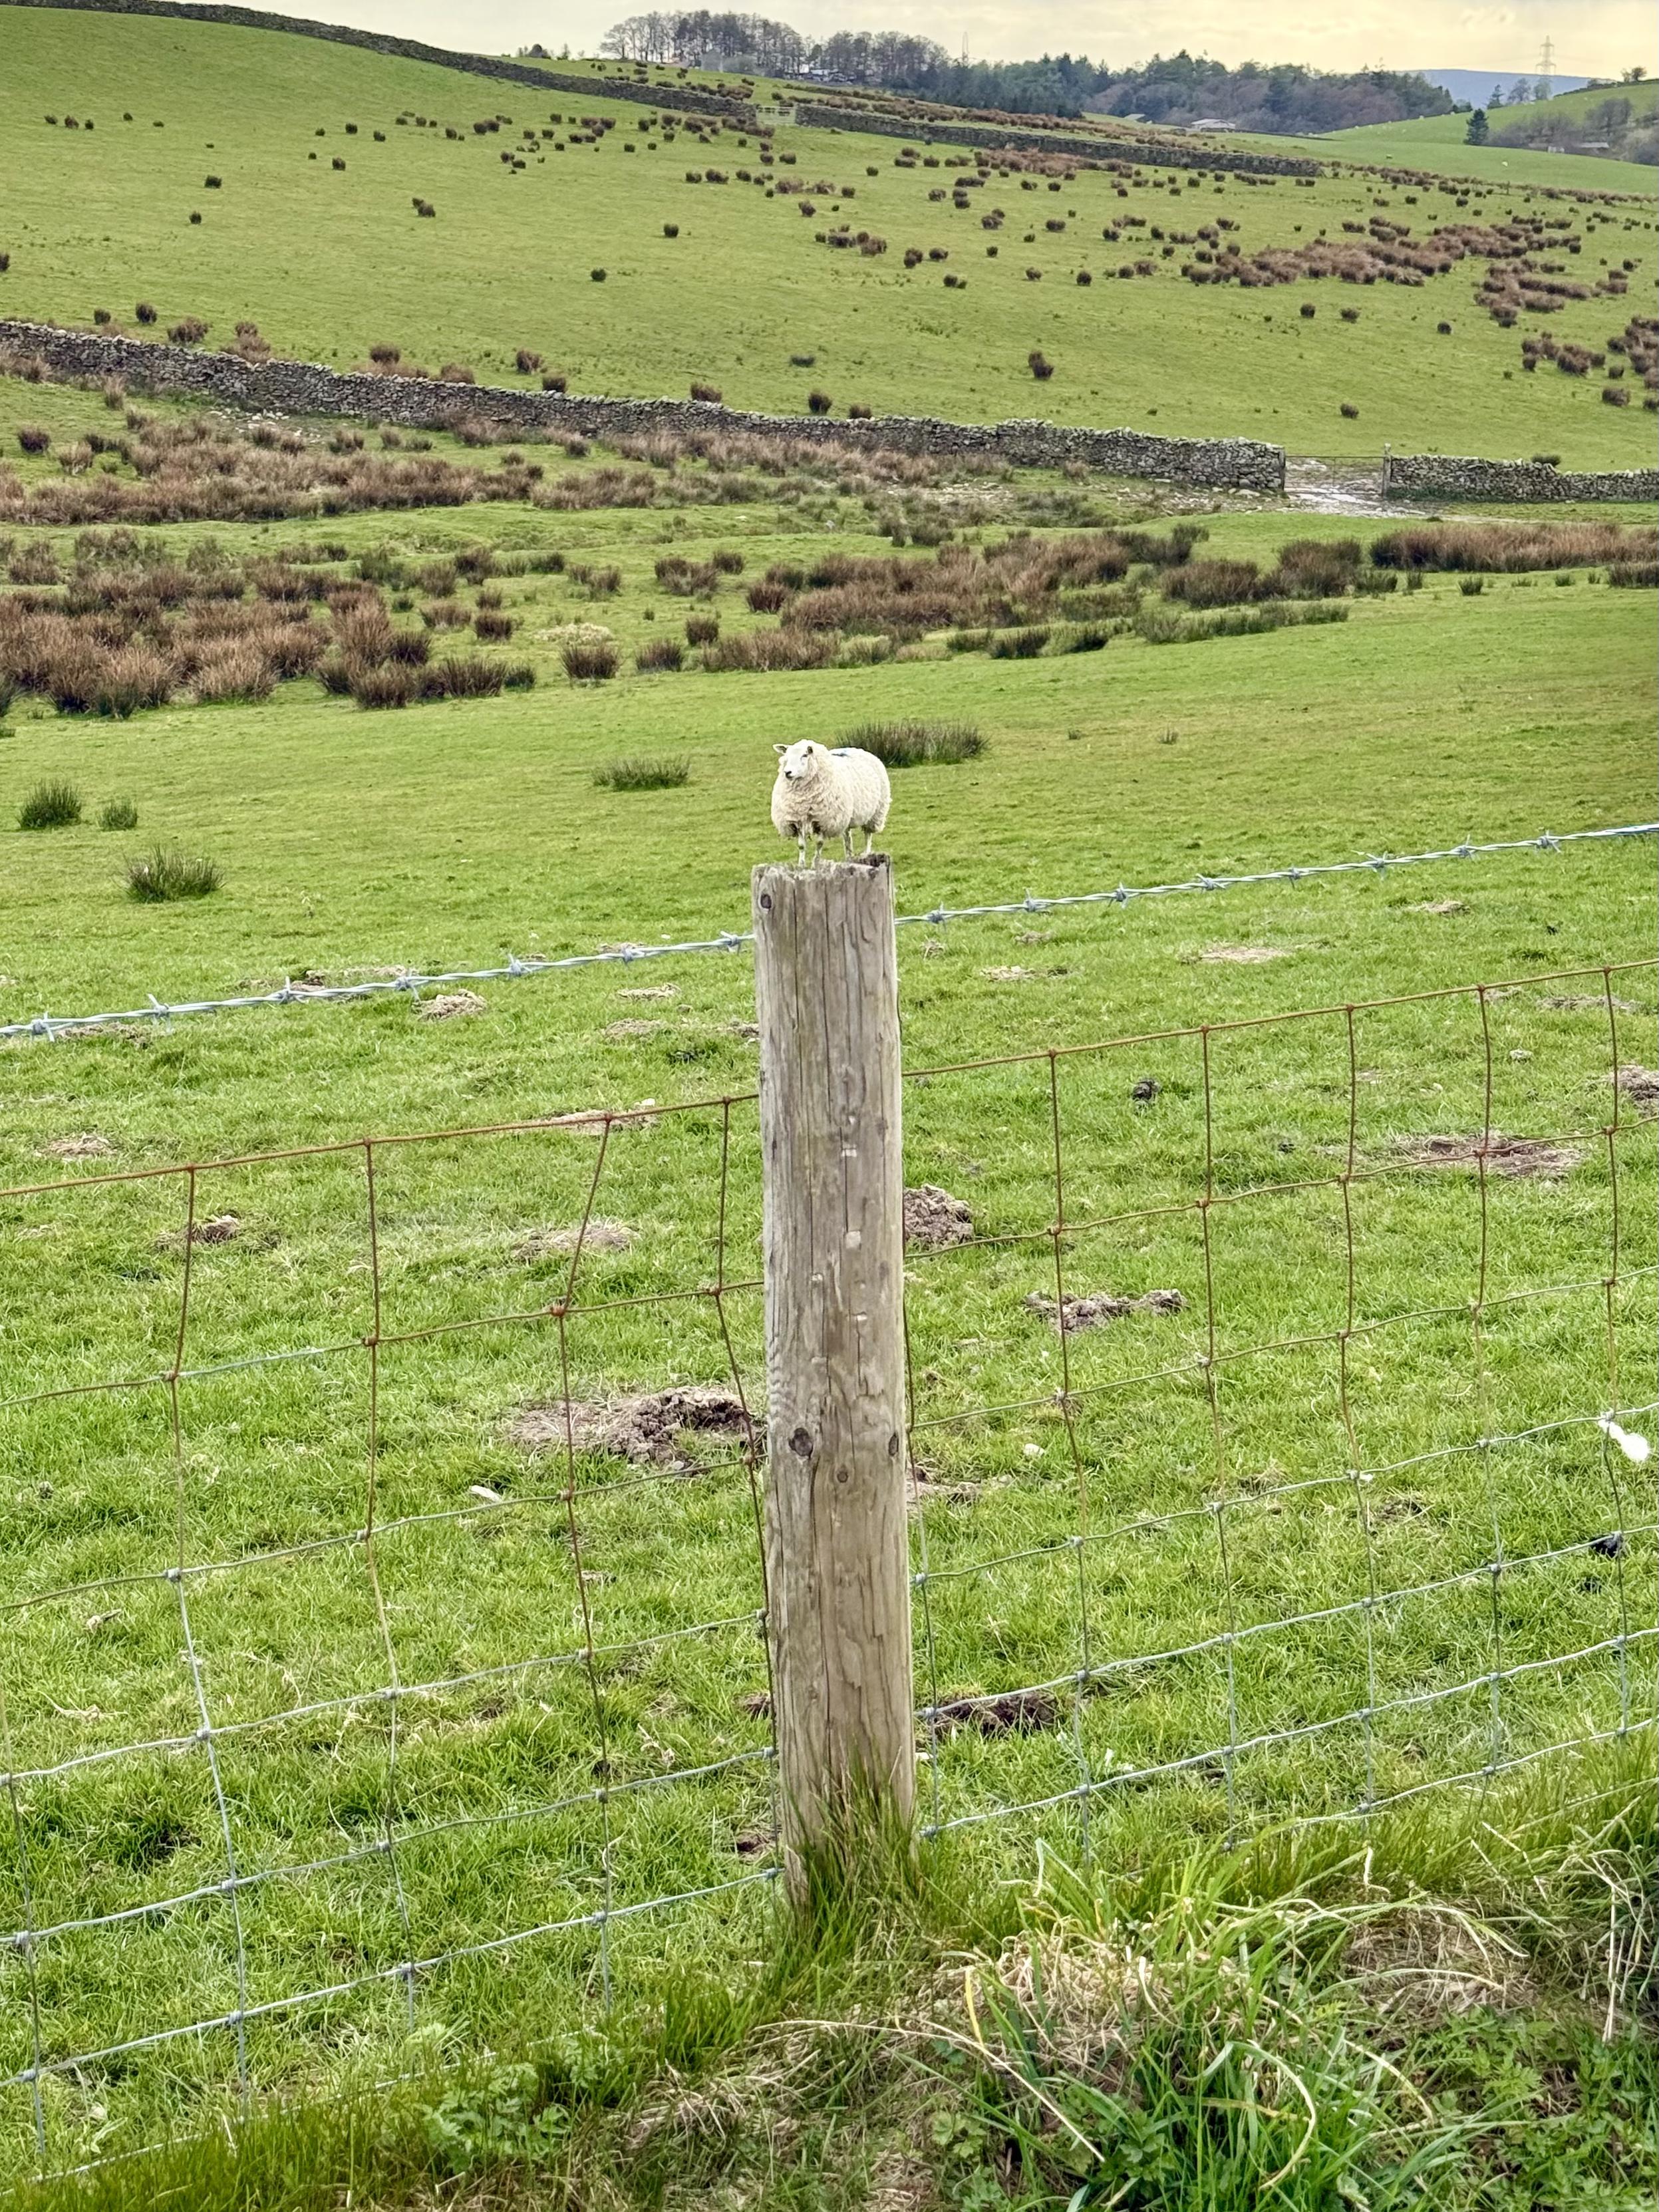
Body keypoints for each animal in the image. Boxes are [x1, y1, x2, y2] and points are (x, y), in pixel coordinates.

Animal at [771, 741, 890, 866]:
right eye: (786, 756)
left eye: (805, 755)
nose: (787, 772)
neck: (804, 798)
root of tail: (856, 749)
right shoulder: (796, 821)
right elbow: (801, 846)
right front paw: (801, 865)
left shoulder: (824, 821)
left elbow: (819, 844)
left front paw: (816, 863)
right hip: (845, 816)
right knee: (847, 838)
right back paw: (849, 857)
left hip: (876, 813)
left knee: (868, 835)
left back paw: (867, 854)